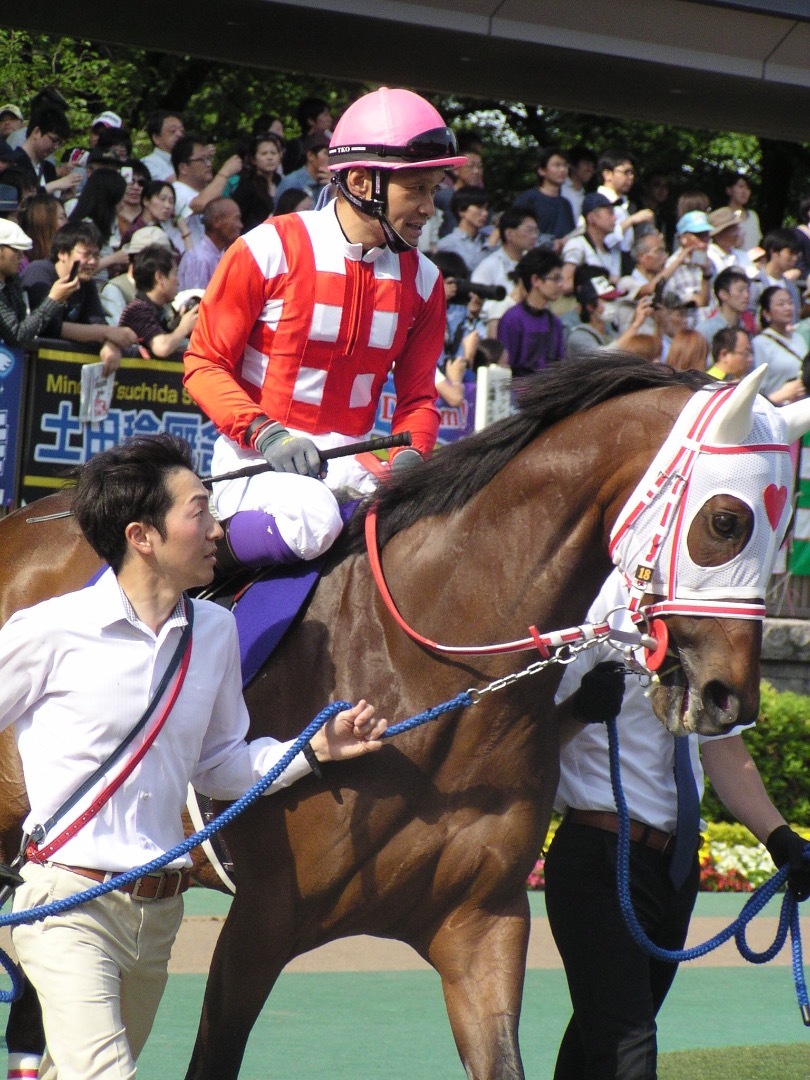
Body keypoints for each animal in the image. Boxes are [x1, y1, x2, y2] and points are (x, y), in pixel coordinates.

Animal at [0, 358, 799, 1075]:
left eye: (785, 528)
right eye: (726, 521)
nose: (730, 697)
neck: (423, 671)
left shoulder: (483, 924)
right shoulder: (261, 921)